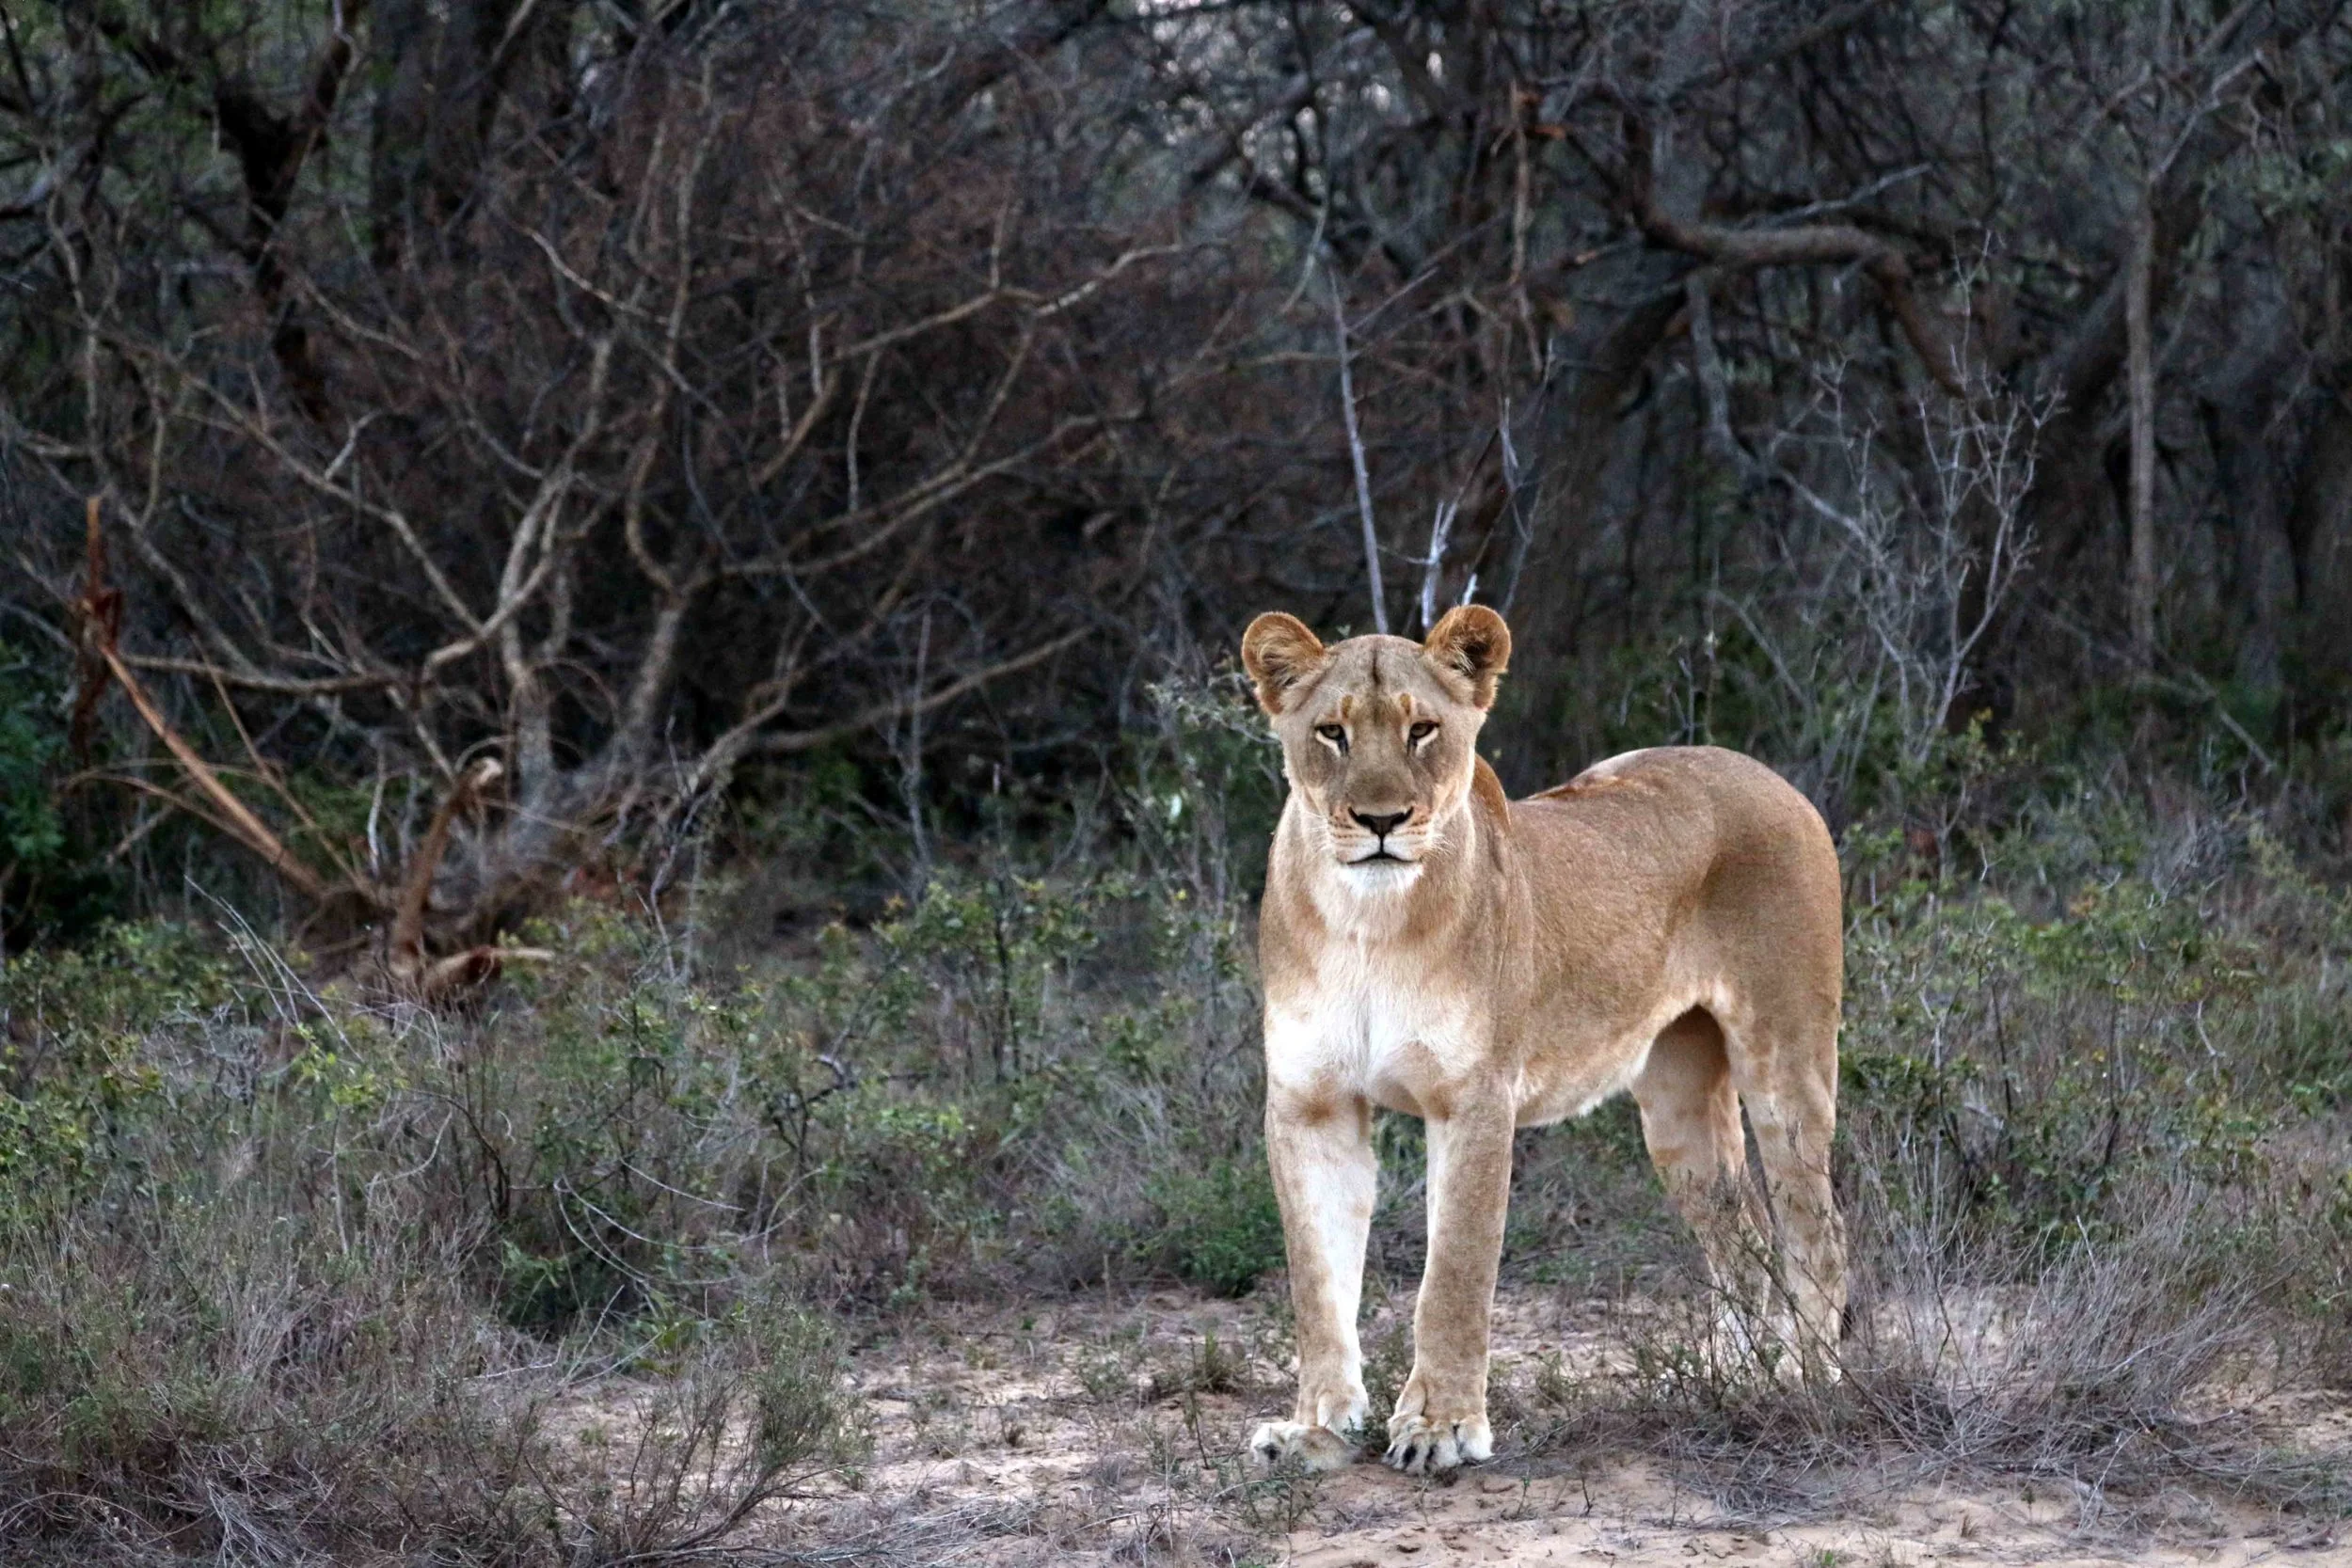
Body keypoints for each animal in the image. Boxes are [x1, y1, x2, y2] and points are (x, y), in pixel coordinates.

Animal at [1238, 605, 1847, 1475]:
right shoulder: (1309, 1105)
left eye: (1422, 729)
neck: (1366, 924)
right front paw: (1314, 1429)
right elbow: (1317, 1281)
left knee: (1815, 1231)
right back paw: (1736, 1381)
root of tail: (1773, 777)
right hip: (1677, 1105)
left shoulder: (1473, 1101)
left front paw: (1440, 1428)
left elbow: (1453, 1275)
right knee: (1741, 1239)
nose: (1382, 821)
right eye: (1332, 732)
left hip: (1785, 1063)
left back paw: (1810, 1382)